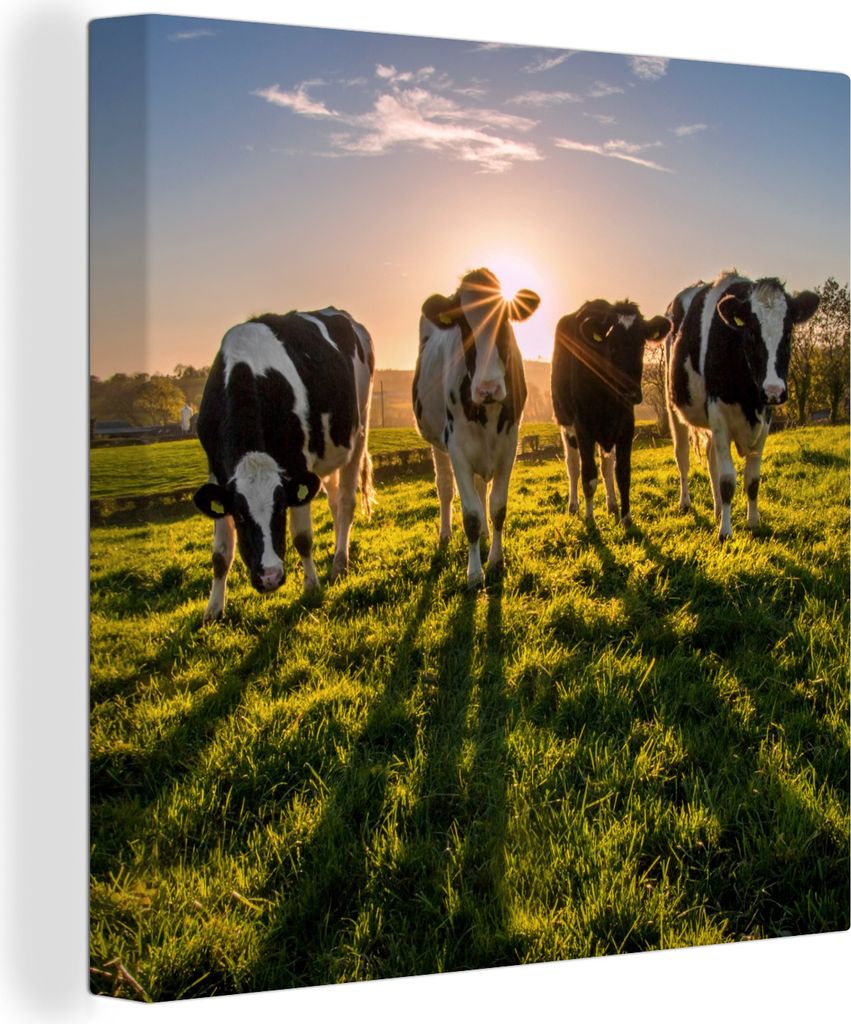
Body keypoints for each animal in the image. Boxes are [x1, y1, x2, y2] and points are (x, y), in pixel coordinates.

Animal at [193, 307, 375, 620]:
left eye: (280, 510)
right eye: (240, 516)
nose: (270, 577)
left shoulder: (297, 464)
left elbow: (302, 537)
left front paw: (311, 587)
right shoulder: (217, 472)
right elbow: (220, 552)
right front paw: (213, 609)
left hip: (359, 429)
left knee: (347, 502)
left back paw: (340, 561)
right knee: (335, 502)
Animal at [413, 268, 540, 586]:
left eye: (505, 322)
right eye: (463, 326)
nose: (488, 388)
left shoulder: (509, 445)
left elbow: (497, 507)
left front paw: (495, 559)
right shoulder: (457, 447)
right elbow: (469, 513)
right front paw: (474, 573)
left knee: (482, 488)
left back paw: (484, 533)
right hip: (437, 442)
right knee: (445, 488)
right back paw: (445, 535)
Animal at [552, 299, 670, 527]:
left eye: (641, 345)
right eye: (612, 346)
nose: (631, 393)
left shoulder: (626, 426)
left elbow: (622, 472)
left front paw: (626, 518)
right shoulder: (583, 428)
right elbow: (588, 475)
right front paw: (590, 520)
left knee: (606, 466)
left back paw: (612, 504)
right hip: (565, 424)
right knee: (573, 466)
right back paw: (573, 506)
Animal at [665, 270, 819, 540]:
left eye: (788, 333)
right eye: (751, 334)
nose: (774, 391)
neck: (749, 398)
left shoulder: (765, 420)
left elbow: (752, 480)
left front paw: (753, 522)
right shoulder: (719, 415)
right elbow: (728, 479)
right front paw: (726, 531)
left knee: (711, 460)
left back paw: (717, 509)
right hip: (674, 407)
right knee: (682, 456)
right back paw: (686, 502)